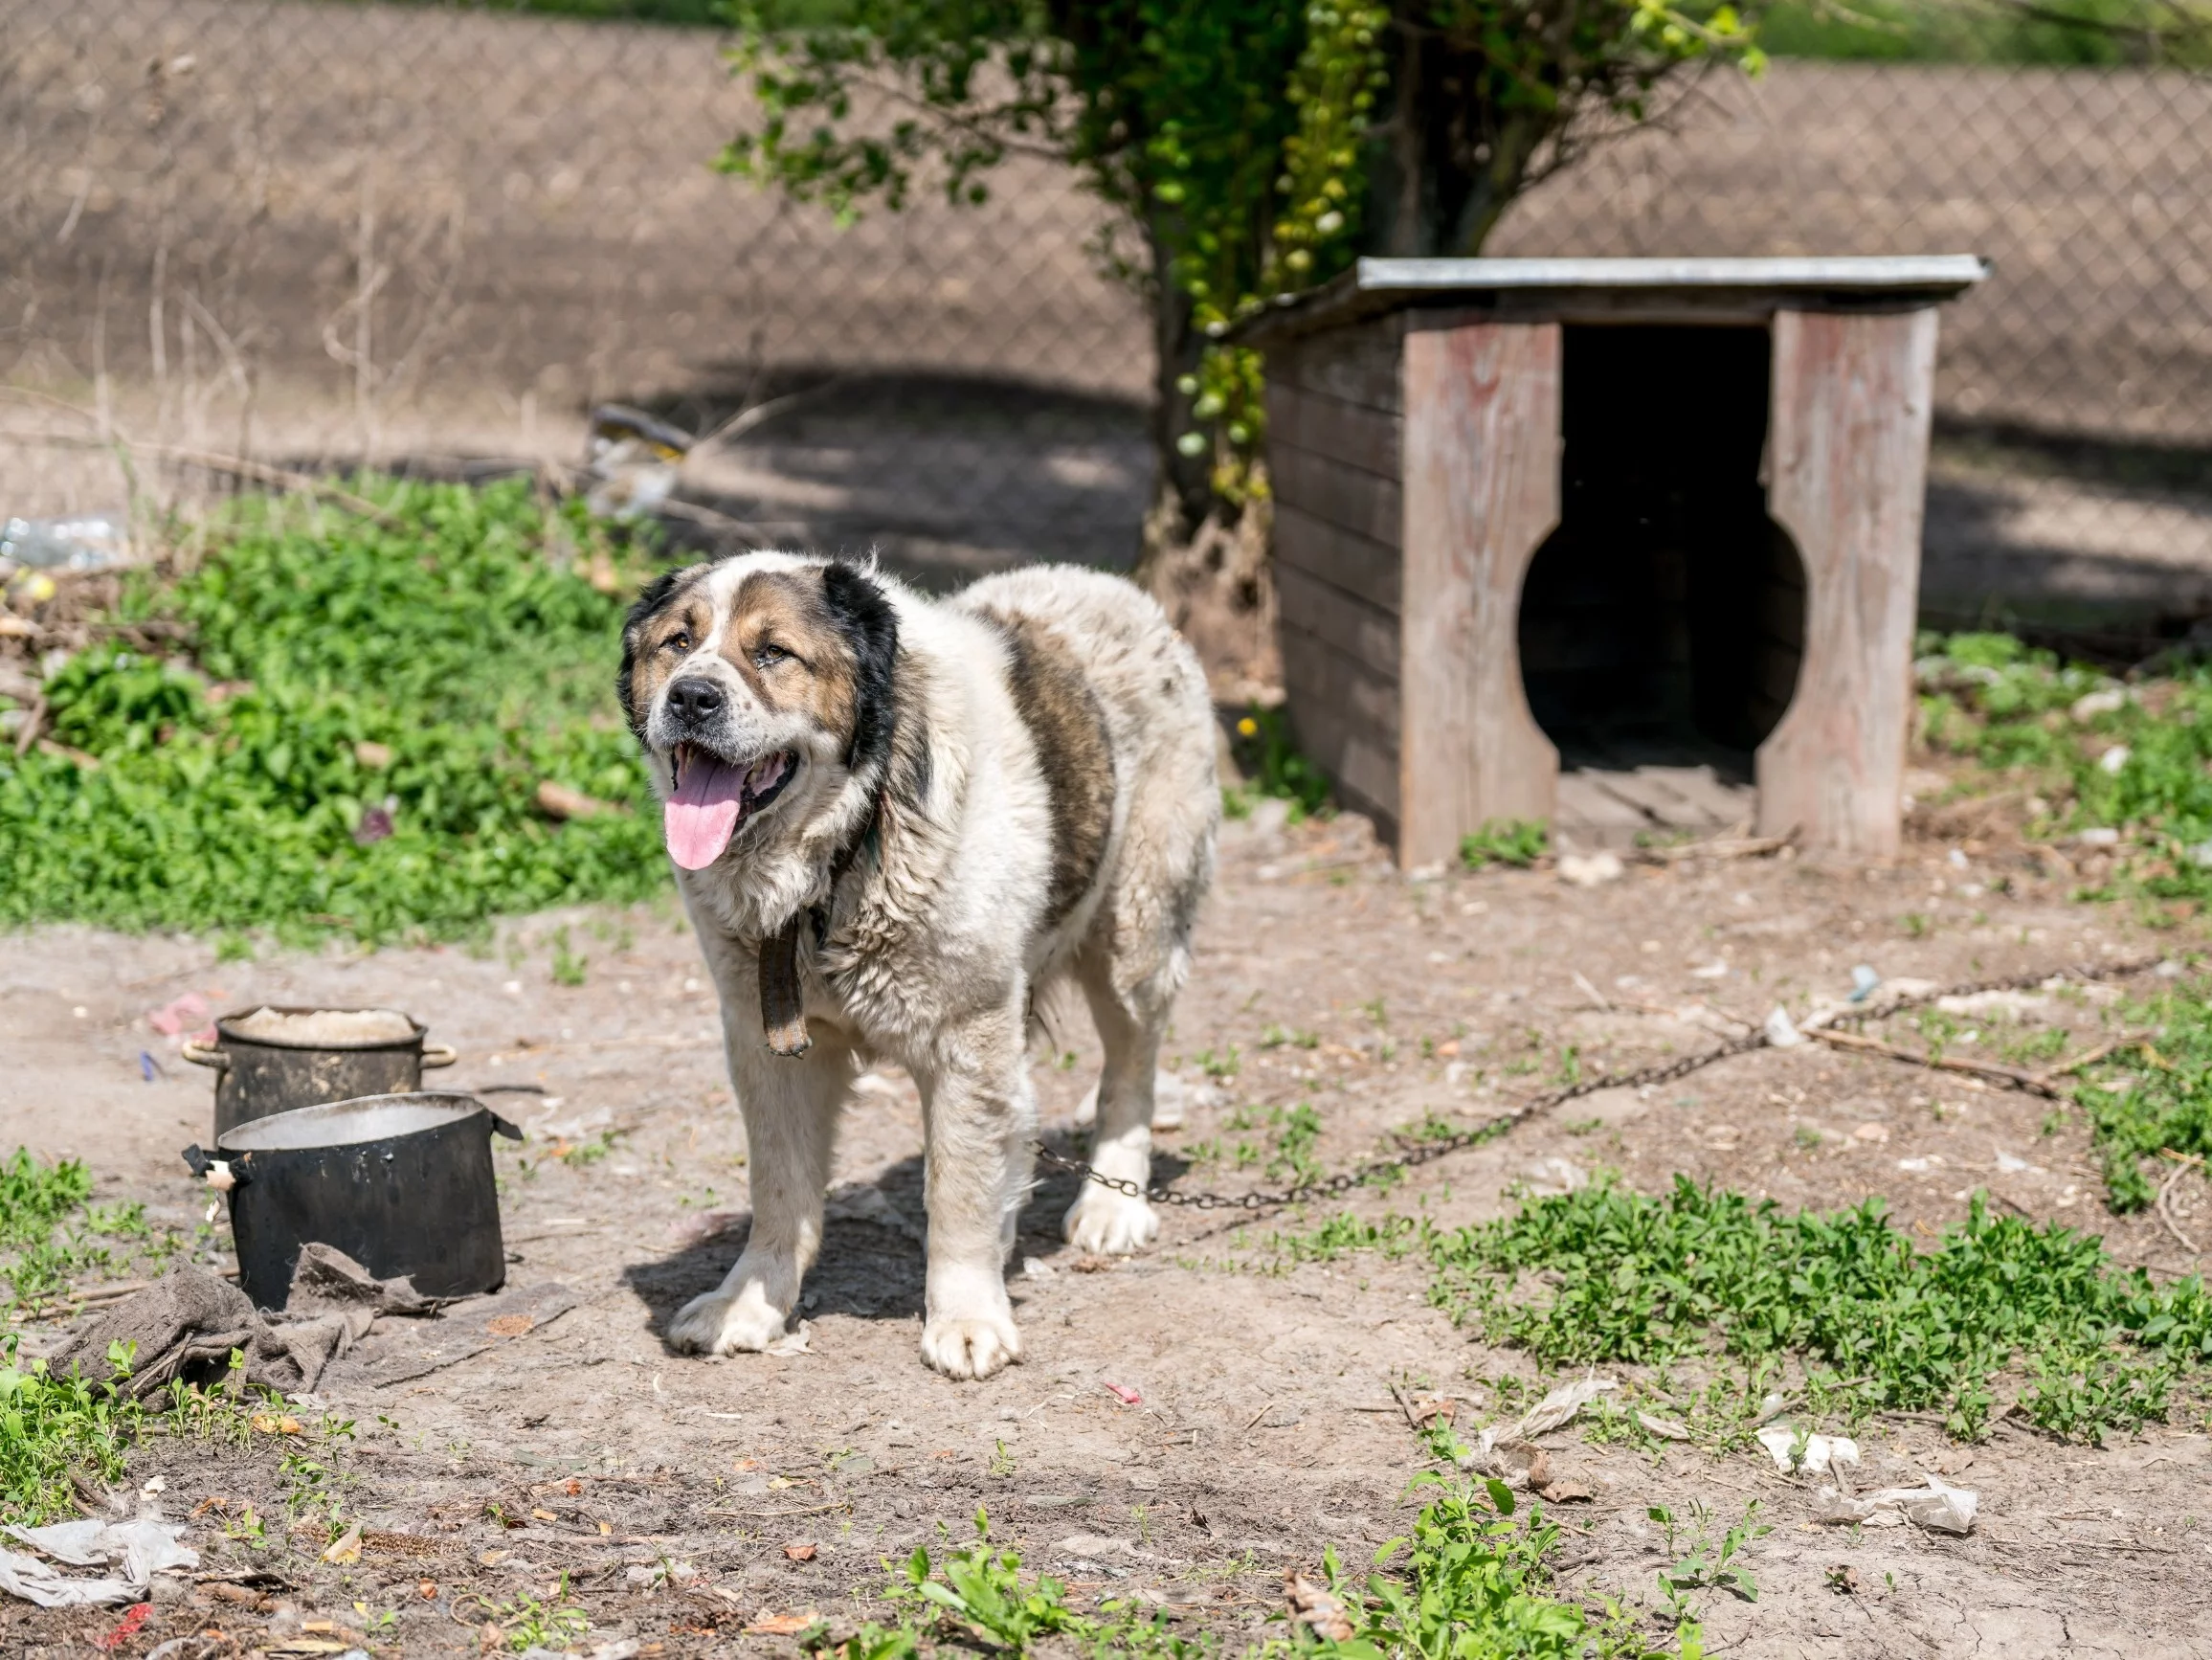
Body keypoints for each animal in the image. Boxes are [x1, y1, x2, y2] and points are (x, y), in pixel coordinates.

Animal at [614, 553, 1220, 1380]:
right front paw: (750, 1302)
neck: (842, 852)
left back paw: (1112, 1204)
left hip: (1135, 932)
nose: (691, 696)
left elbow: (957, 1189)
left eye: (772, 653)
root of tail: (1114, 587)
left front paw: (966, 1317)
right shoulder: (765, 1044)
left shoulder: (968, 1035)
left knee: (1130, 1068)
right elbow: (779, 1188)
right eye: (677, 643)